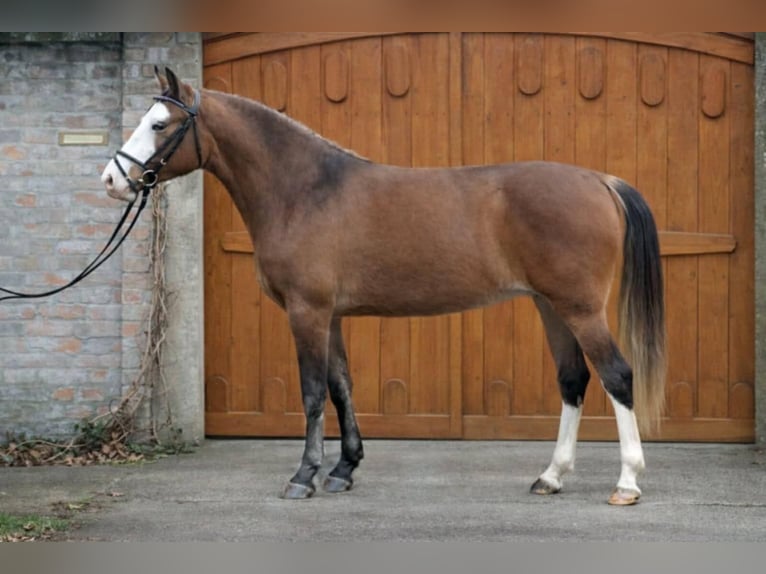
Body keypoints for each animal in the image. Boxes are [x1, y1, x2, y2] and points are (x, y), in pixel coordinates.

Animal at [102, 67, 665, 506]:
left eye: (159, 124)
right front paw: (343, 469)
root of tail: (599, 180)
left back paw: (627, 483)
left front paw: (304, 476)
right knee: (573, 381)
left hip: (581, 309)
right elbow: (341, 386)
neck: (304, 190)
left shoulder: (307, 312)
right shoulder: (330, 315)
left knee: (617, 376)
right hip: (553, 307)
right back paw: (551, 476)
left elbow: (312, 392)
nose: (112, 179)